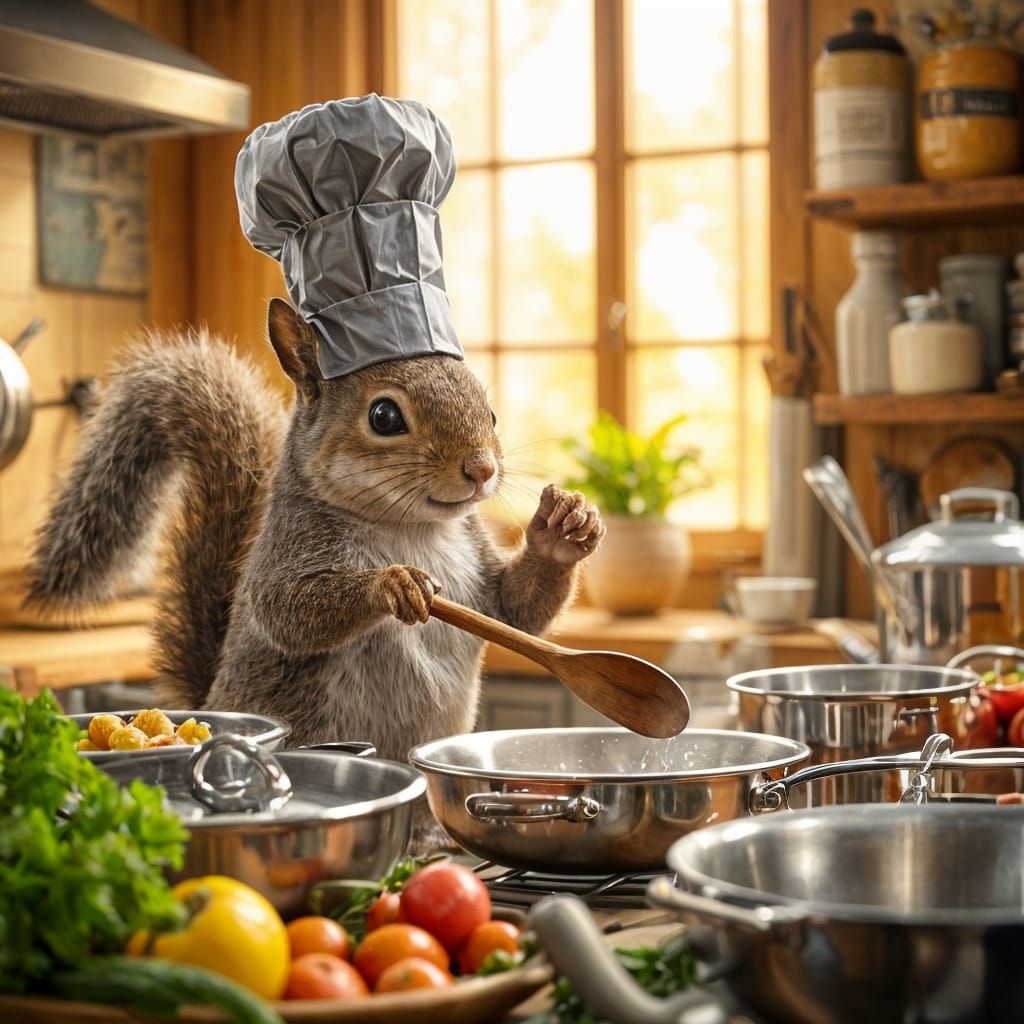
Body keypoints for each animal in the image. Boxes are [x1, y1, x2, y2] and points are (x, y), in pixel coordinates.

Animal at [26, 298, 606, 761]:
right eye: (384, 416)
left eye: (490, 411)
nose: (482, 468)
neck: (412, 527)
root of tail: (206, 701)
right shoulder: (292, 543)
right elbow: (287, 611)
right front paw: (392, 584)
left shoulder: (477, 563)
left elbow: (517, 612)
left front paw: (562, 531)